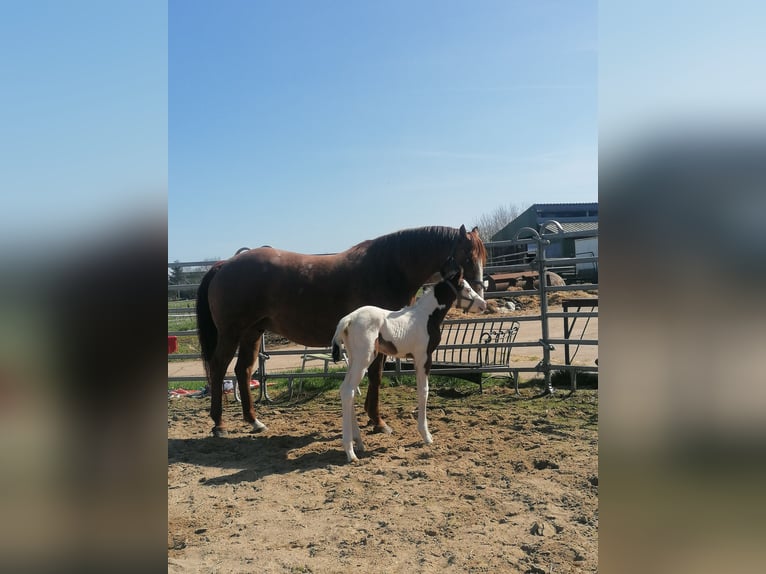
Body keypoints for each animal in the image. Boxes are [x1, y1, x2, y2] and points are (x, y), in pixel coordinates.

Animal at [196, 225, 487, 437]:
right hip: (232, 332)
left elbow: (374, 377)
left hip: (252, 332)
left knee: (242, 370)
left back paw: (253, 421)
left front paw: (372, 418)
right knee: (219, 367)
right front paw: (378, 421)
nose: (481, 296)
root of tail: (225, 265)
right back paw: (219, 425)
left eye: (482, 256)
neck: (389, 268)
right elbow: (376, 376)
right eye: (468, 255)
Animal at [331, 259, 487, 462]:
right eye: (467, 288)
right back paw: (350, 451)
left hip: (355, 358)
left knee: (346, 389)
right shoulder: (423, 357)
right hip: (364, 358)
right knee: (348, 391)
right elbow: (424, 391)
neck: (427, 316)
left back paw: (359, 442)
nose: (484, 304)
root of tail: (348, 319)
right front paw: (426, 435)